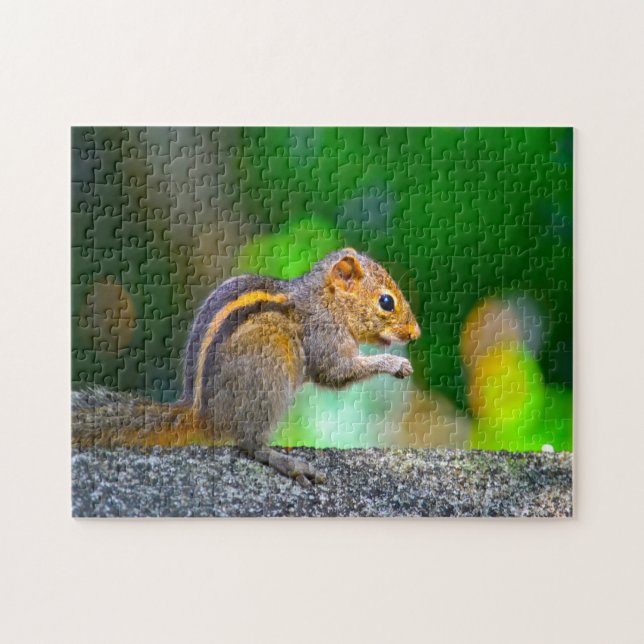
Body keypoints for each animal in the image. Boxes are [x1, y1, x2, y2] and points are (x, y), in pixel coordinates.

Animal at [72, 248, 421, 485]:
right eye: (386, 302)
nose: (415, 333)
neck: (325, 300)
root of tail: (203, 414)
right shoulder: (322, 336)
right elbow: (334, 372)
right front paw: (395, 363)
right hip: (268, 382)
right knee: (248, 443)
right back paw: (285, 461)